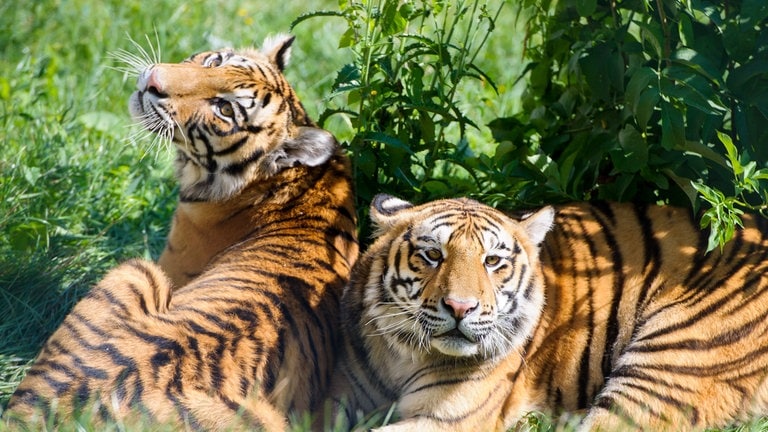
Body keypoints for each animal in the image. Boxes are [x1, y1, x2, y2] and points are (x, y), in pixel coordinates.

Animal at [323, 194, 768, 431]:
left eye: (492, 261)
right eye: (433, 255)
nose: (460, 307)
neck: (403, 355)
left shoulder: (449, 419)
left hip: (666, 365)